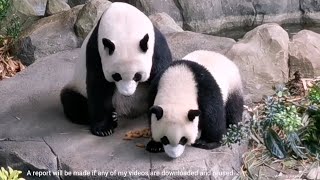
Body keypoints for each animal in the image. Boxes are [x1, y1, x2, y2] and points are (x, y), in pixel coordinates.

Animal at [61, 2, 174, 136]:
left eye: (137, 76)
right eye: (116, 76)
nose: (127, 93)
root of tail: (126, 112)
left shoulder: (156, 45)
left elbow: (160, 76)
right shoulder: (96, 50)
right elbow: (98, 84)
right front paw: (103, 129)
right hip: (77, 87)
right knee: (72, 101)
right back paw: (113, 117)